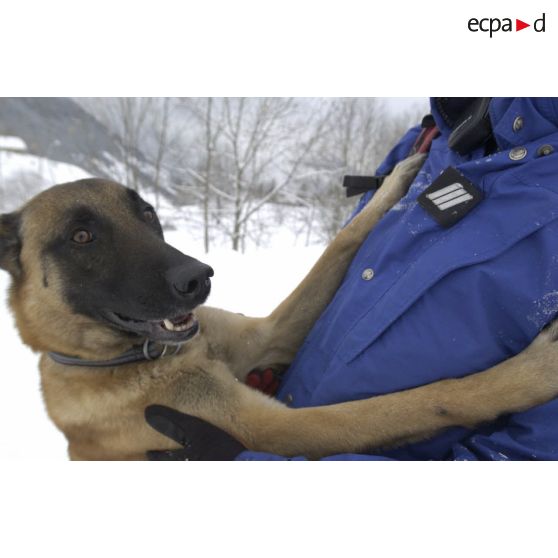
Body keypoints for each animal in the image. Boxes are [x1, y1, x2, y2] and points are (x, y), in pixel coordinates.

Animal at [3, 154, 558, 464]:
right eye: (82, 236)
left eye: (147, 213)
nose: (198, 278)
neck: (135, 358)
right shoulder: (279, 429)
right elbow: (422, 400)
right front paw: (528, 374)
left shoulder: (268, 335)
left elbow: (341, 243)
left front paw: (395, 184)